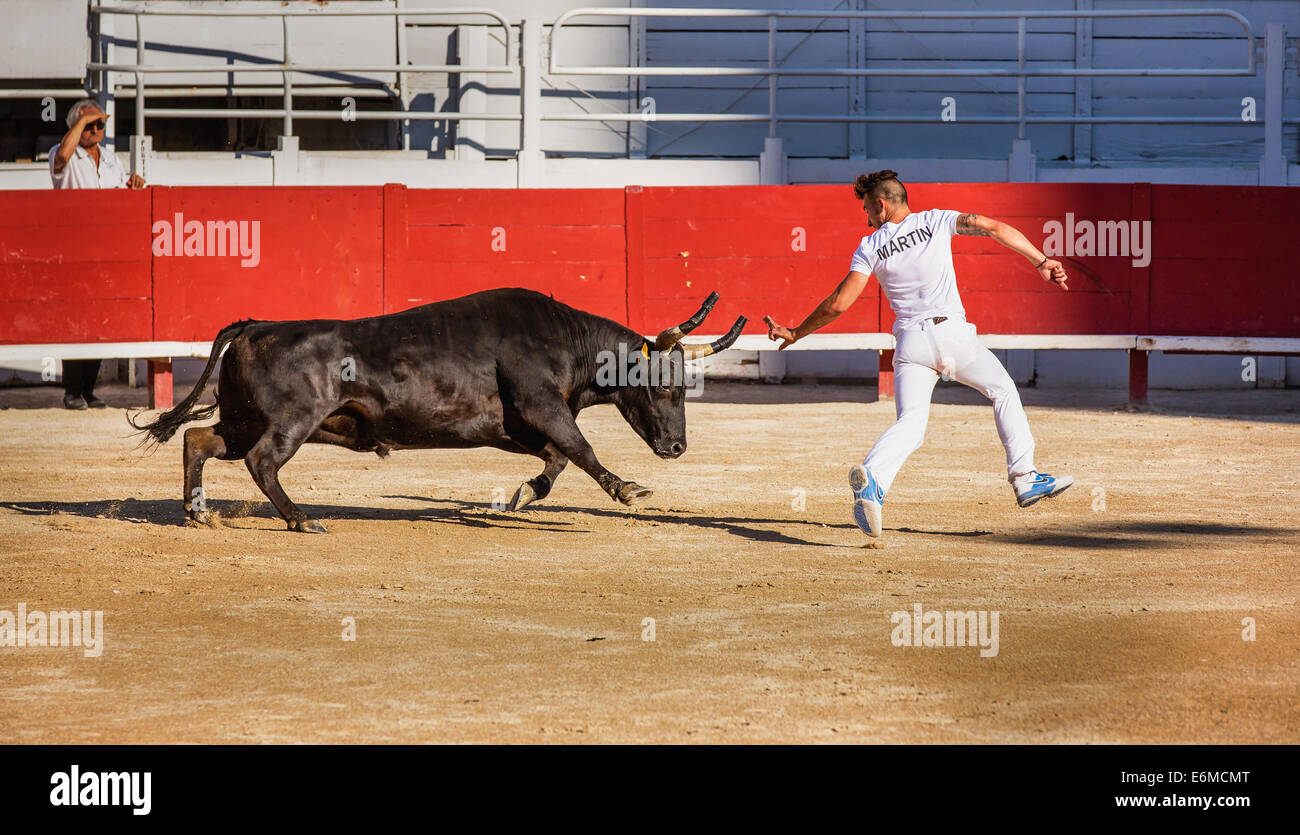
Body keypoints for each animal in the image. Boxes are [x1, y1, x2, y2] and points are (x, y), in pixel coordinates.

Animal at [131, 286, 748, 533]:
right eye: (664, 387)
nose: (677, 447)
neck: (568, 341)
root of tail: (255, 326)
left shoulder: (514, 426)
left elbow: (557, 459)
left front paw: (522, 495)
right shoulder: (541, 404)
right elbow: (581, 447)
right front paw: (627, 490)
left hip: (243, 418)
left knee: (200, 441)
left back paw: (198, 512)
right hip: (289, 422)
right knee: (262, 461)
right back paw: (302, 519)